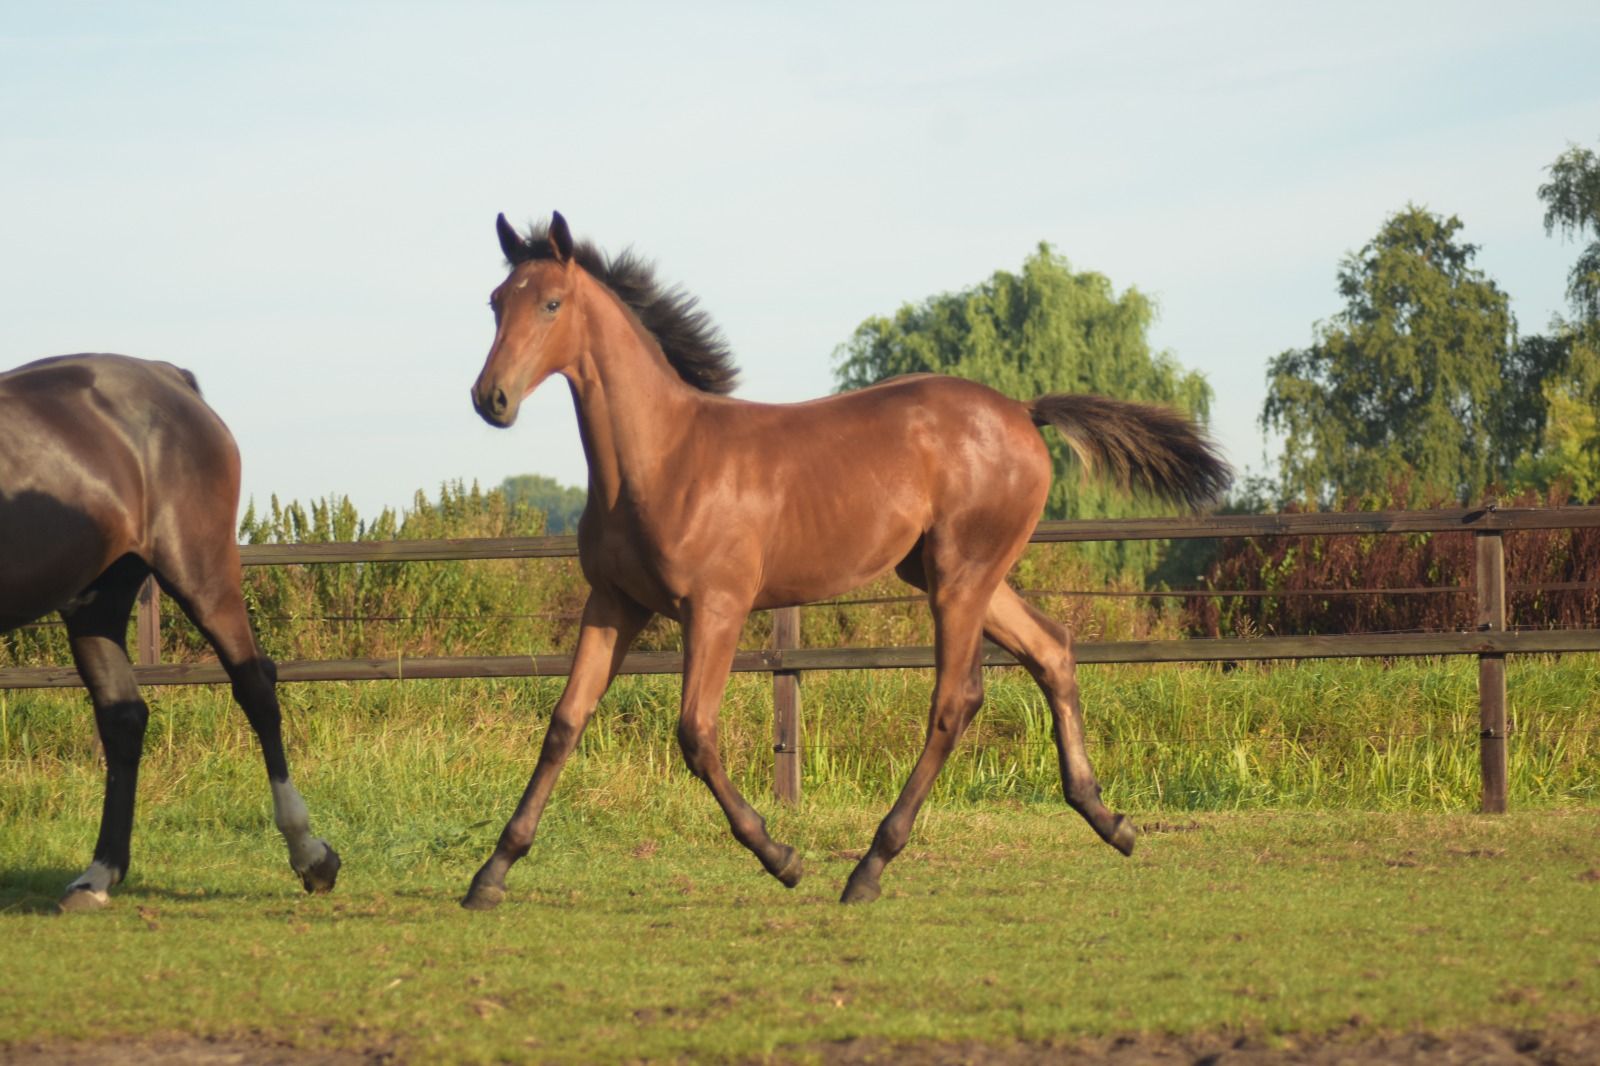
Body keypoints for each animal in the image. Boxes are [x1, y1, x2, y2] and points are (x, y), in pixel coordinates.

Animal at [0, 354, 340, 911]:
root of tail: (169, 376)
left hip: (201, 571)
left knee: (256, 688)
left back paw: (311, 857)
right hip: (97, 601)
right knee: (123, 716)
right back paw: (98, 876)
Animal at [465, 213, 1230, 907]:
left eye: (552, 303)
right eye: (497, 301)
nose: (490, 398)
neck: (662, 457)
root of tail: (1021, 409)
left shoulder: (716, 607)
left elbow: (695, 733)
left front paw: (781, 856)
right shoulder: (614, 602)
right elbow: (565, 723)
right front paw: (491, 873)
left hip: (960, 576)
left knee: (955, 700)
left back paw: (869, 867)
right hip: (953, 573)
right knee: (1052, 649)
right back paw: (1110, 820)